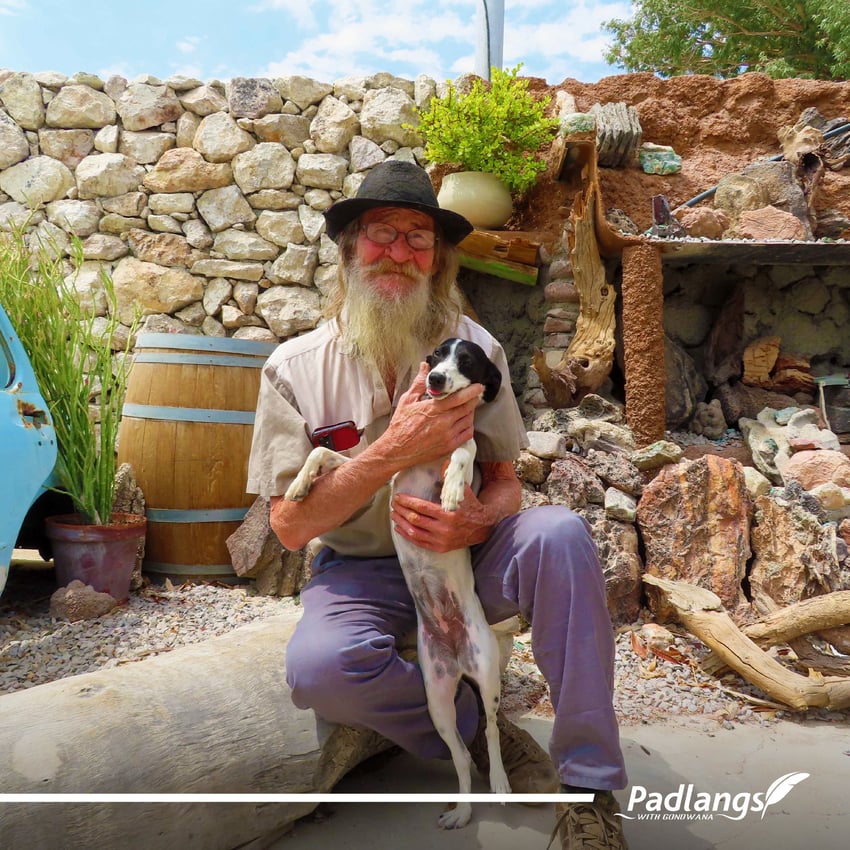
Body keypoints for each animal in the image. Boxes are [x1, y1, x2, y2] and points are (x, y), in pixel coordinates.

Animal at [284, 338, 510, 828]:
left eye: (467, 361)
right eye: (436, 355)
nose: (435, 380)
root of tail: (457, 657)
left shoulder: (460, 452)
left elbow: (464, 450)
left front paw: (452, 490)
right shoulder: (381, 480)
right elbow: (324, 455)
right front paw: (298, 485)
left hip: (487, 676)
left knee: (491, 730)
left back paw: (502, 783)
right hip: (437, 700)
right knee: (462, 755)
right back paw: (461, 811)